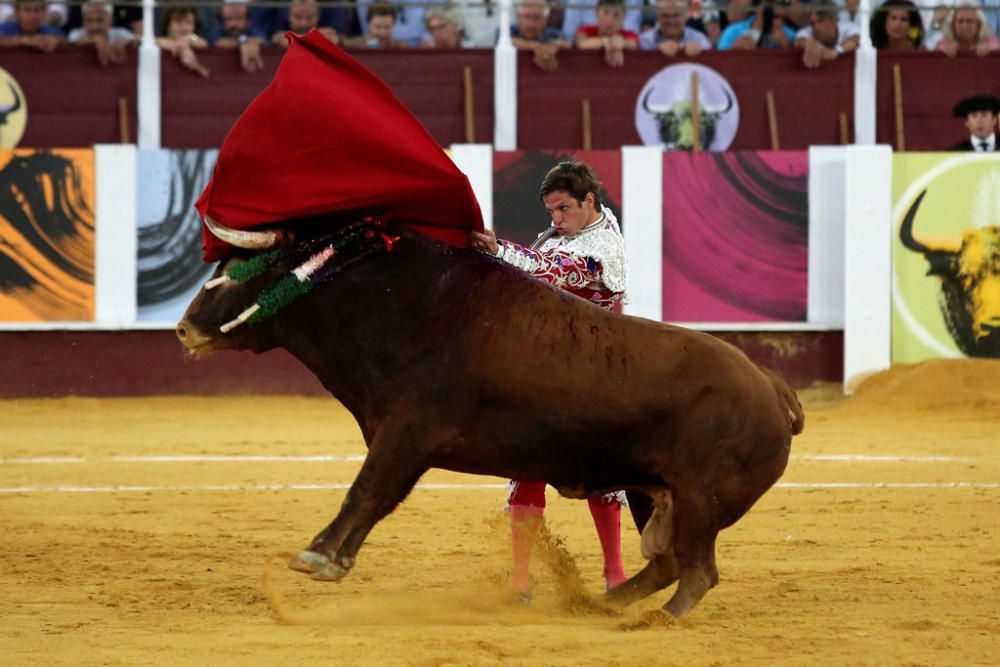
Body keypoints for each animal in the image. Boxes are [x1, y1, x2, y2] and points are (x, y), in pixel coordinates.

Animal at [178, 217, 804, 620]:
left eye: (242, 267)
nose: (184, 329)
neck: (401, 307)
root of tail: (771, 387)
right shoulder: (402, 440)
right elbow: (378, 497)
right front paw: (335, 559)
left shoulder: (408, 433)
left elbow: (367, 490)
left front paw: (317, 556)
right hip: (655, 490)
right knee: (669, 561)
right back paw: (601, 603)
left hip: (701, 498)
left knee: (698, 570)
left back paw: (656, 617)